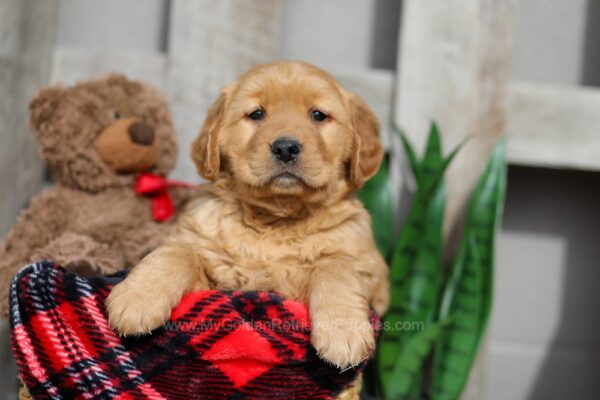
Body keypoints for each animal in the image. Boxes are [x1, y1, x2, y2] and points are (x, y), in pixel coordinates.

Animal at [107, 61, 390, 368]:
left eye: (318, 115)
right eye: (256, 114)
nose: (286, 147)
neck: (277, 218)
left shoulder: (370, 271)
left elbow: (336, 266)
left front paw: (343, 332)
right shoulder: (212, 282)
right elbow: (177, 251)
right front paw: (137, 299)